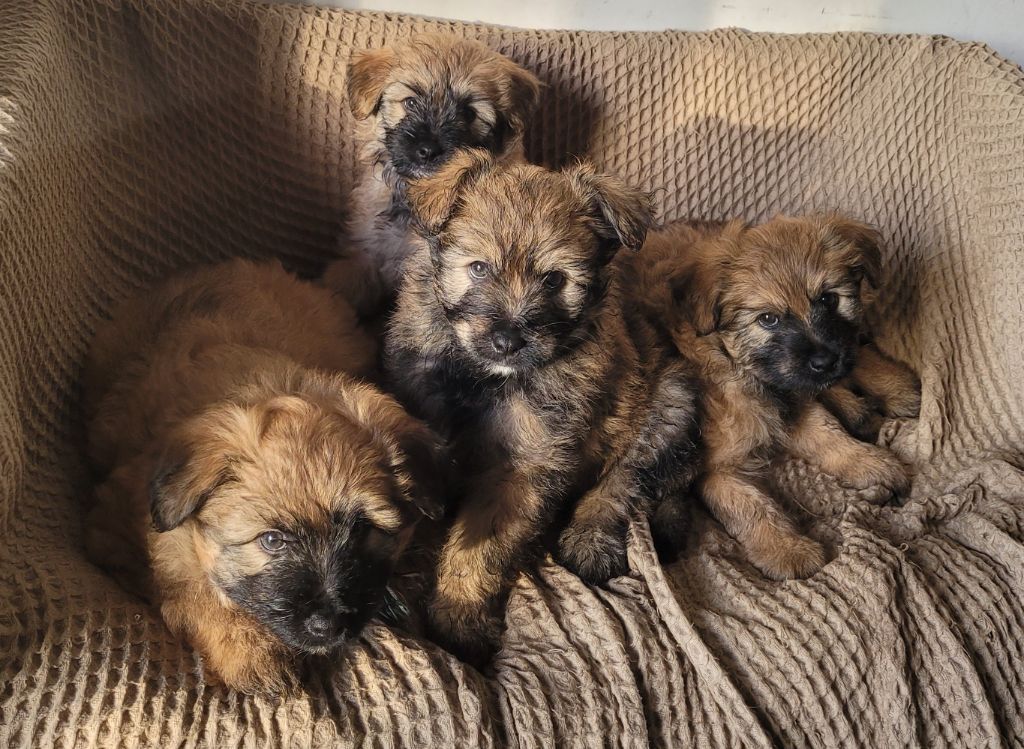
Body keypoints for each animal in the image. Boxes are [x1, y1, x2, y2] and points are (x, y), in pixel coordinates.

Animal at [81, 260, 442, 692]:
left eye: (362, 529)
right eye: (271, 541)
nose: (327, 625)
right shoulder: (118, 533)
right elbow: (188, 581)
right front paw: (249, 652)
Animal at [385, 150, 704, 663]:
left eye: (554, 279)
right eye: (479, 268)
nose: (507, 340)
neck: (483, 378)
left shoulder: (523, 468)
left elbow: (480, 545)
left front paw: (460, 615)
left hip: (667, 403)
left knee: (624, 482)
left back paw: (588, 540)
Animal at [634, 217, 925, 581]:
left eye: (829, 300)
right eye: (768, 319)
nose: (824, 362)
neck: (737, 364)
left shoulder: (798, 401)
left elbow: (831, 436)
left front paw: (871, 463)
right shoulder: (718, 469)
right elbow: (750, 506)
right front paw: (787, 549)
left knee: (857, 348)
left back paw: (894, 388)